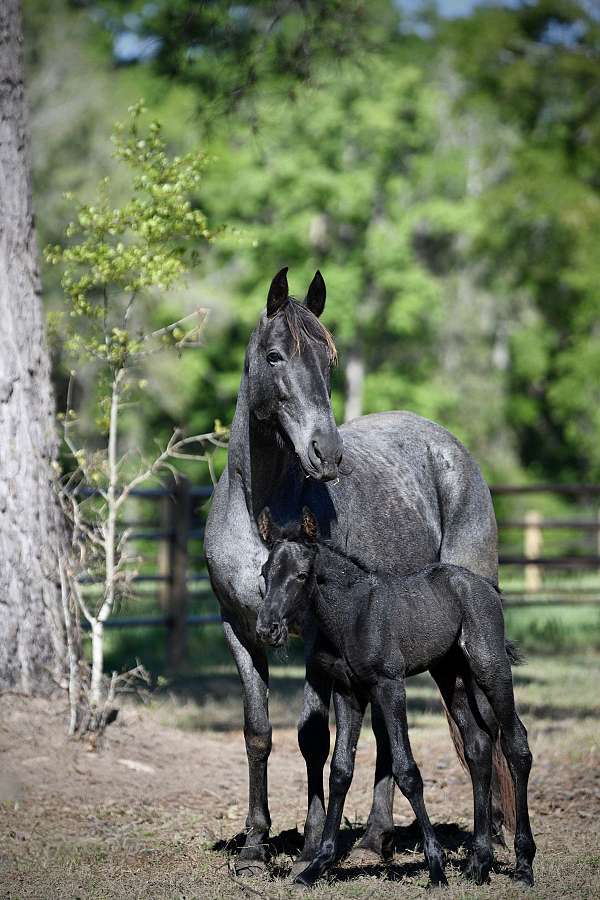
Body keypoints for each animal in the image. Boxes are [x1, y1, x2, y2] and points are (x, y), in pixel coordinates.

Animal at [205, 266, 502, 872]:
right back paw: (373, 837)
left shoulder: (319, 642)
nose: (328, 452)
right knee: (389, 736)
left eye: (330, 360)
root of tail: (452, 450)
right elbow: (258, 732)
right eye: (274, 356)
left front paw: (311, 843)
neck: (259, 508)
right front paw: (254, 846)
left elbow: (314, 738)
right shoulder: (238, 630)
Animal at [255, 510, 536, 888]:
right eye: (265, 572)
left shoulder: (390, 686)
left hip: (490, 668)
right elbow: (340, 771)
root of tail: (482, 585)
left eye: (301, 575)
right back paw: (478, 865)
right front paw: (317, 866)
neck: (351, 616)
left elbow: (407, 770)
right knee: (478, 746)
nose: (266, 629)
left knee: (516, 743)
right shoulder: (348, 692)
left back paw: (523, 866)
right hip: (451, 676)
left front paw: (436, 867)